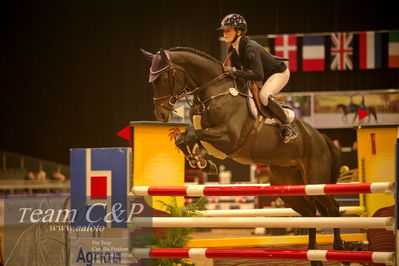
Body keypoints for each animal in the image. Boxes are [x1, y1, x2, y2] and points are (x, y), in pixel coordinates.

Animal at [143, 47, 344, 264]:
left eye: (163, 77)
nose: (161, 115)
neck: (213, 91)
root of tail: (321, 137)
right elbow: (184, 138)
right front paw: (201, 162)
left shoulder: (229, 138)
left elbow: (191, 135)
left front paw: (201, 162)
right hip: (288, 186)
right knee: (311, 212)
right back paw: (313, 254)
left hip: (316, 178)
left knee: (332, 207)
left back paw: (339, 249)